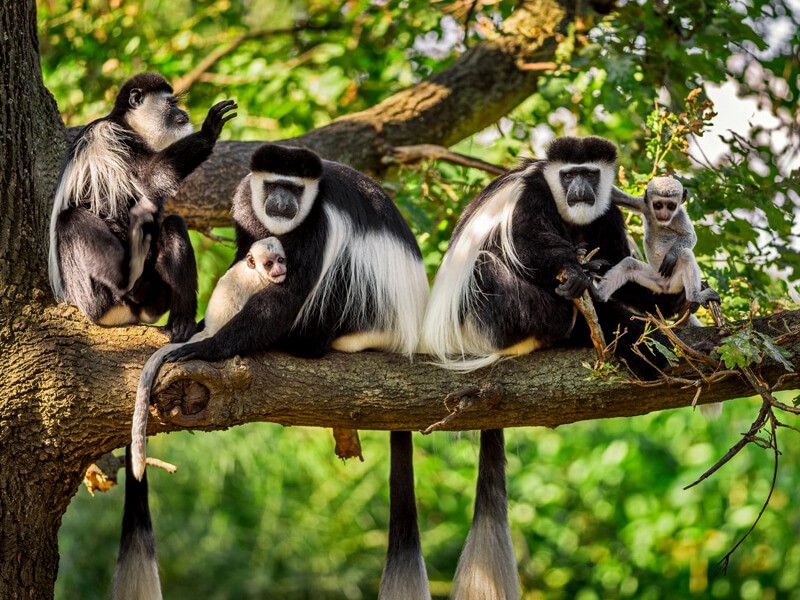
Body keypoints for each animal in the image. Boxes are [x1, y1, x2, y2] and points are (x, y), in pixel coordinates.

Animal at [48, 71, 236, 342]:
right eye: (172, 103)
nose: (184, 113)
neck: (128, 124)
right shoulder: (113, 137)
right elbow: (151, 176)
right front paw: (208, 131)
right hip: (89, 293)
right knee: (72, 219)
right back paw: (125, 286)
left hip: (154, 298)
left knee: (173, 225)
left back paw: (181, 322)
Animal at [159, 143, 434, 596]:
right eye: (274, 184)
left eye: (295, 188)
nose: (282, 202)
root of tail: (407, 333)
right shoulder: (244, 203)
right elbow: (243, 257)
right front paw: (199, 324)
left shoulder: (317, 224)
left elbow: (289, 293)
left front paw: (212, 345)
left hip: (363, 310)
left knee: (339, 274)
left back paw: (301, 343)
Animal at [422, 137, 680, 600]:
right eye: (568, 174)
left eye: (590, 174)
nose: (579, 188)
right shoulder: (531, 196)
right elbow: (527, 244)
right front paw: (576, 272)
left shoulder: (607, 213)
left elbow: (619, 261)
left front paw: (663, 298)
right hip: (487, 317)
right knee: (490, 266)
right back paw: (578, 317)